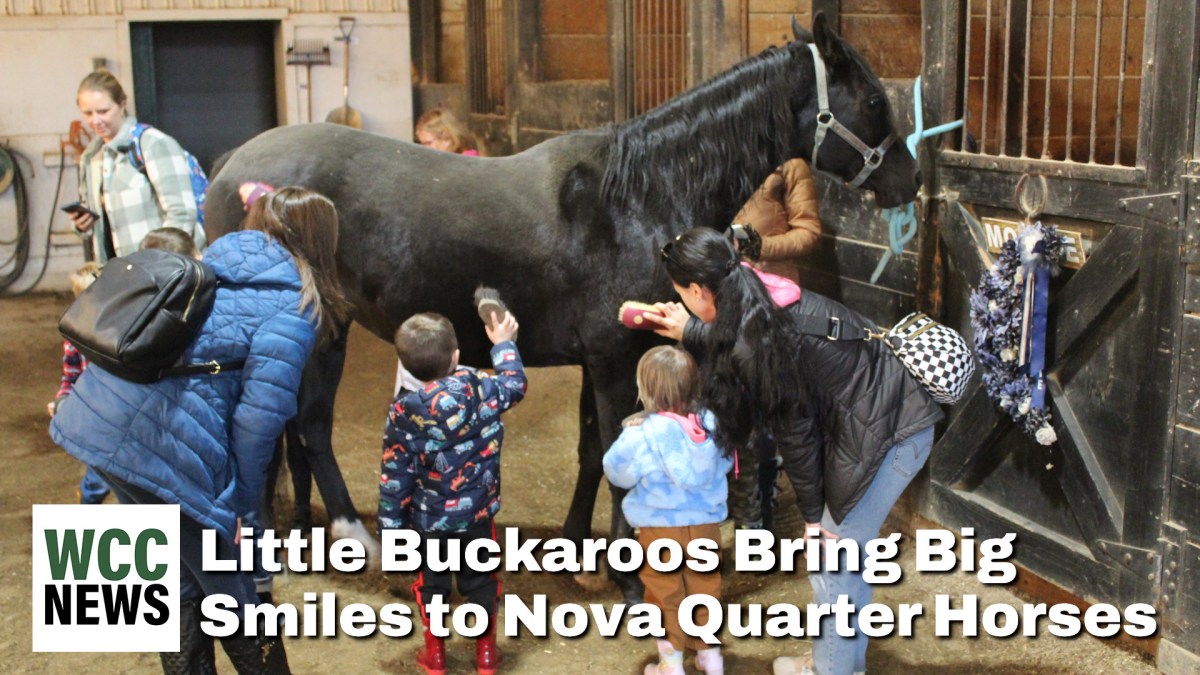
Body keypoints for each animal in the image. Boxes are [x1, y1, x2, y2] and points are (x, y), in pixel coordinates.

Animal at [204, 15, 920, 603]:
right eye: (875, 100)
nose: (909, 182)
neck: (635, 196)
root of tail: (232, 165)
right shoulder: (615, 359)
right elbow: (616, 450)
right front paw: (628, 579)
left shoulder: (599, 358)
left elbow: (590, 450)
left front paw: (577, 549)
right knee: (307, 424)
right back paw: (356, 537)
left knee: (287, 427)